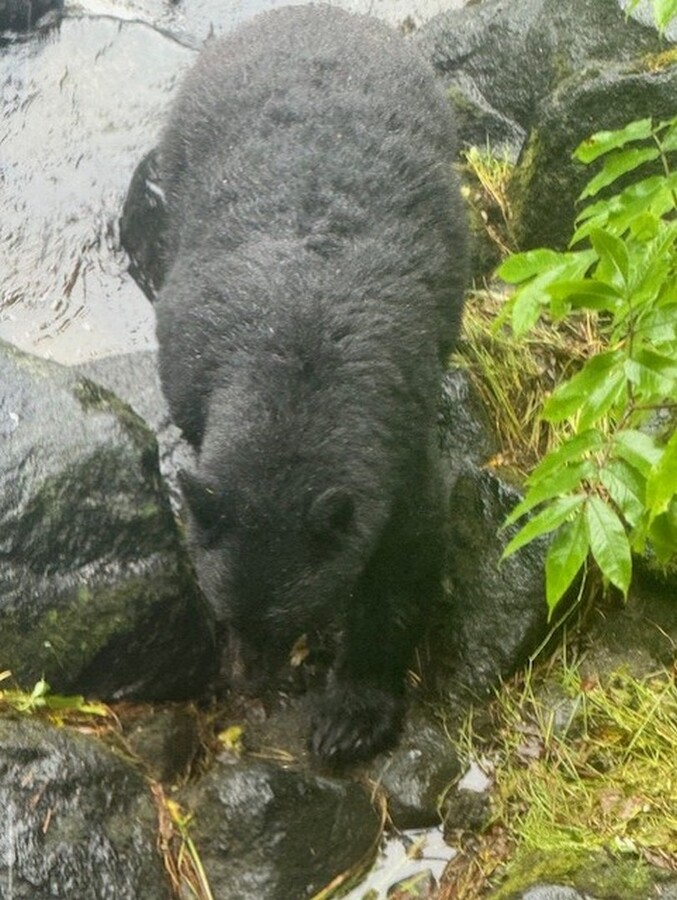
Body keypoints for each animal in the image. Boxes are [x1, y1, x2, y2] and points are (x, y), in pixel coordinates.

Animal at [152, 5, 464, 768]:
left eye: (287, 617)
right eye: (223, 610)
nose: (246, 681)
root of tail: (309, 14)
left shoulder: (400, 449)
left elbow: (404, 564)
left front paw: (351, 710)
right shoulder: (191, 364)